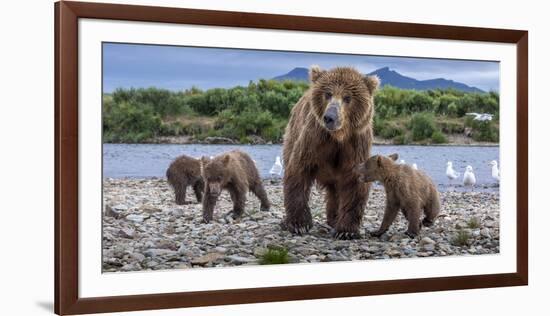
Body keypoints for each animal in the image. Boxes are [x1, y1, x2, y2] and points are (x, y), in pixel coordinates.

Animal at [284, 66, 380, 239]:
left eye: (347, 97)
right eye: (328, 94)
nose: (329, 117)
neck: (338, 137)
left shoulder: (355, 145)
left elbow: (355, 182)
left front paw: (346, 231)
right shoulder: (314, 139)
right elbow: (298, 171)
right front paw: (299, 224)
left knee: (335, 191)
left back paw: (334, 219)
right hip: (292, 133)